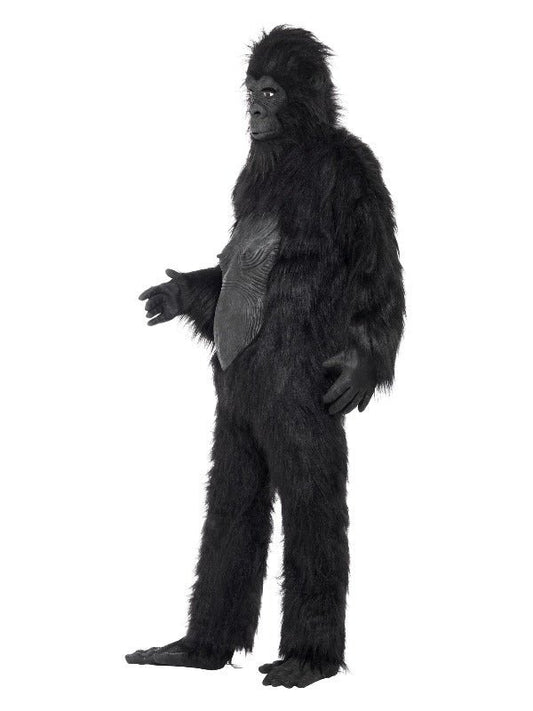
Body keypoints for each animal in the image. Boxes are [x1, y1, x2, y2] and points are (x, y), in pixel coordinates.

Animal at [126, 26, 405, 688]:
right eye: (253, 89)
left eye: (272, 92)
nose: (254, 111)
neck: (297, 150)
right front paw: (176, 294)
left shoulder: (358, 174)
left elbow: (379, 279)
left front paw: (359, 369)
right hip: (237, 420)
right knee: (232, 497)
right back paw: (197, 649)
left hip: (293, 410)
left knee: (312, 499)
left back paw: (308, 660)